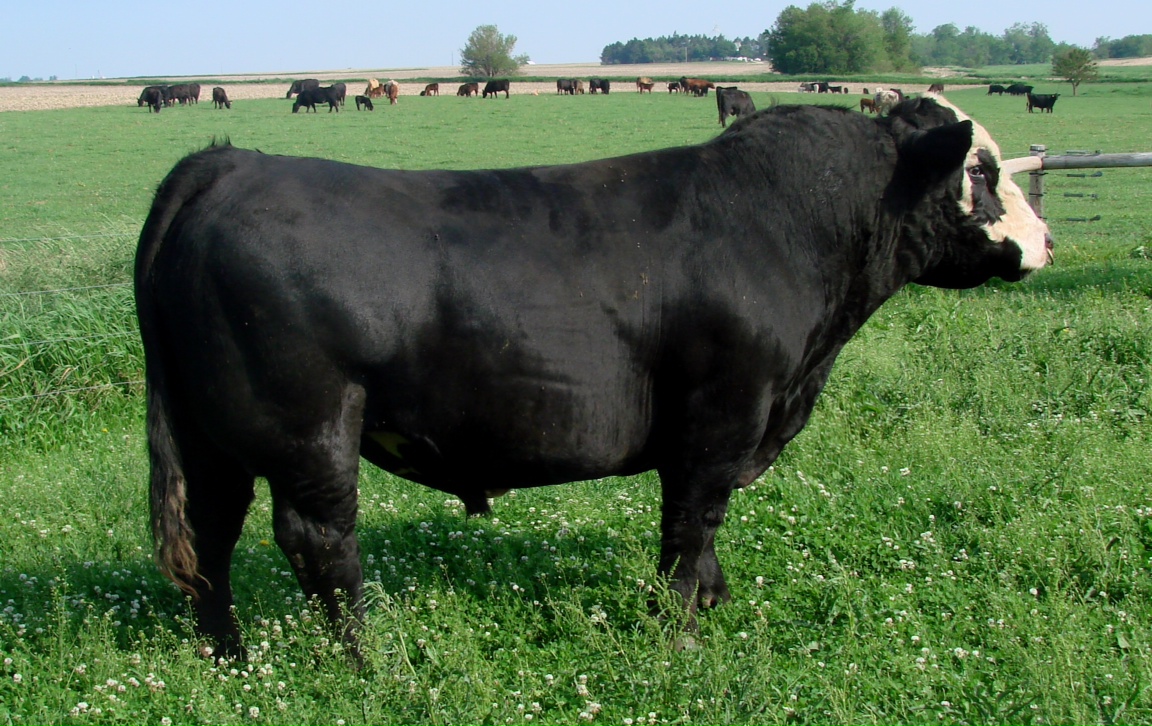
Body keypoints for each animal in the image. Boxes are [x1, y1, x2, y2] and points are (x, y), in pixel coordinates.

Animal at [135, 94, 1052, 663]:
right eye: (980, 172)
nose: (1046, 243)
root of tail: (233, 163)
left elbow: (700, 536)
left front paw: (712, 605)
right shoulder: (721, 416)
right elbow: (690, 526)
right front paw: (679, 632)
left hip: (213, 437)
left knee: (210, 539)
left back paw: (230, 656)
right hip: (310, 427)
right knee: (319, 542)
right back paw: (367, 662)